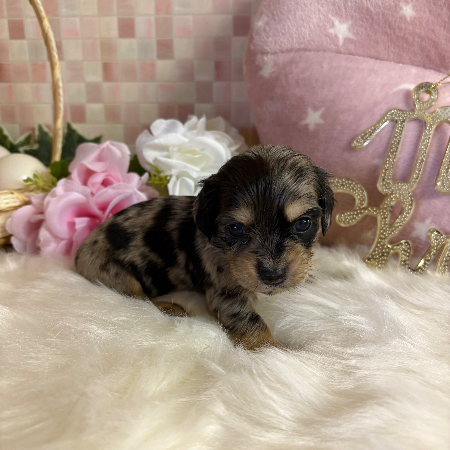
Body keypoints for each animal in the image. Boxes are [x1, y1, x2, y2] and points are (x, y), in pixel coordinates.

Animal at [75, 145, 334, 349]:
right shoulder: (225, 295)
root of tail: (81, 250)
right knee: (138, 299)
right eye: (235, 228)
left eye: (303, 223)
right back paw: (169, 307)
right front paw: (273, 350)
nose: (273, 276)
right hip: (115, 274)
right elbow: (251, 320)